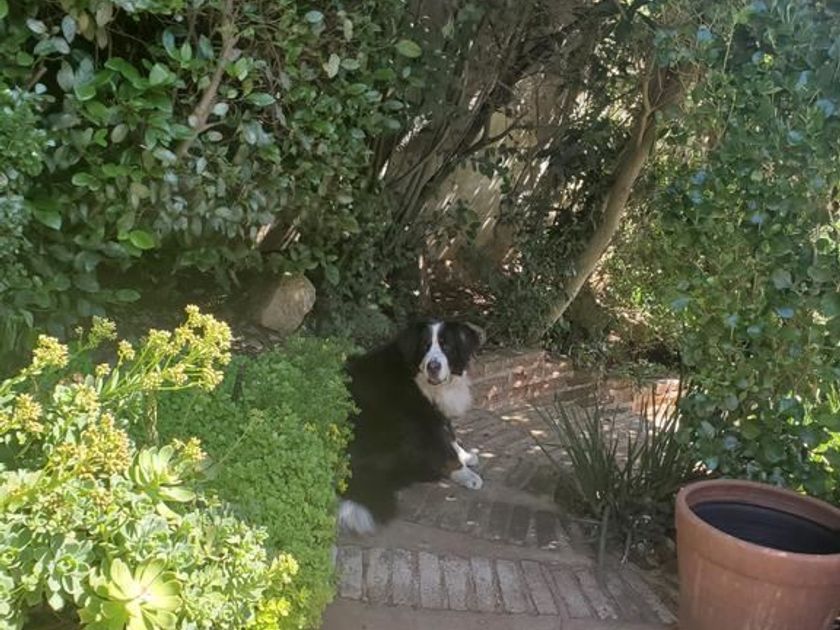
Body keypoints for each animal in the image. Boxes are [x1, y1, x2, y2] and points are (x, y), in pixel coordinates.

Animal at [338, 319, 484, 535]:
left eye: (447, 346)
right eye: (424, 346)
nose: (433, 366)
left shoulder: (437, 413)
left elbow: (450, 436)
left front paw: (465, 456)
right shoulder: (422, 419)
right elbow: (444, 448)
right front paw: (466, 474)